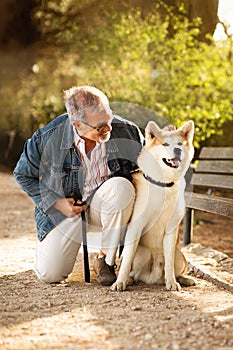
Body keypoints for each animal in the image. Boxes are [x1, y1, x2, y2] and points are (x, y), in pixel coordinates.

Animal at [111, 121, 195, 292]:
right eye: (165, 144)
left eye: (180, 144)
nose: (177, 150)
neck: (163, 184)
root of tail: (153, 277)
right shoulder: (136, 226)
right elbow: (126, 260)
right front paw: (120, 282)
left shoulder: (171, 230)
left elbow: (169, 263)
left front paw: (171, 282)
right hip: (141, 253)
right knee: (129, 266)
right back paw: (129, 280)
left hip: (180, 256)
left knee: (176, 268)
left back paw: (184, 279)